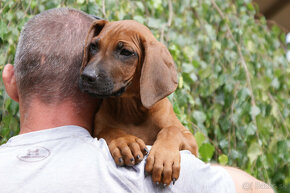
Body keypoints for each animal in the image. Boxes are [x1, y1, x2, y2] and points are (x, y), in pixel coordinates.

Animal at [79, 19, 197, 185]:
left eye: (126, 52)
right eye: (93, 46)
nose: (87, 76)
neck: (131, 110)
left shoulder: (191, 142)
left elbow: (172, 129)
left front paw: (164, 157)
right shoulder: (99, 128)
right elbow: (109, 130)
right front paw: (124, 142)